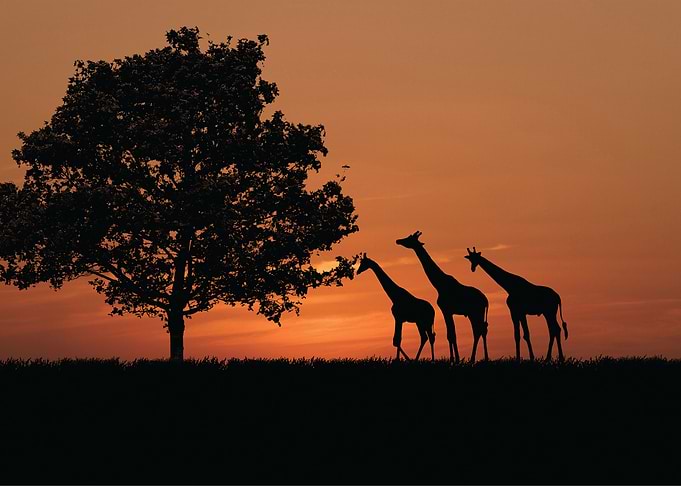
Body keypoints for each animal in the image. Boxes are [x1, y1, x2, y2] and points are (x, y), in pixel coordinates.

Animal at [396, 231, 489, 363]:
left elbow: (451, 335)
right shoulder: (447, 311)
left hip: (476, 311)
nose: (398, 240)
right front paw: (454, 359)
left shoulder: (446, 310)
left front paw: (455, 360)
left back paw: (478, 359)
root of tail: (486, 301)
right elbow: (450, 334)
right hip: (473, 313)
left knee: (480, 330)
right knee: (479, 330)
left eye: (410, 239)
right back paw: (476, 359)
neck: (439, 284)